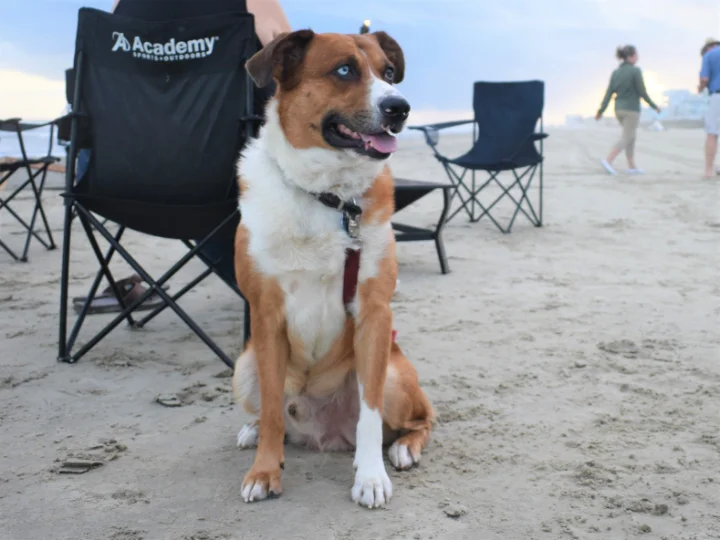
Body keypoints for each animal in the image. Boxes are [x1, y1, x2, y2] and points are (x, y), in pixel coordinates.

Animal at [232, 28, 434, 510]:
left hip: (394, 372)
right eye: (344, 70)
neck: (329, 197)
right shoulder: (265, 317)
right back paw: (253, 430)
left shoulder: (374, 314)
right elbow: (272, 409)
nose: (400, 108)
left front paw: (371, 477)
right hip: (244, 365)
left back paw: (402, 448)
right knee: (272, 413)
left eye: (389, 73)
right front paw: (264, 471)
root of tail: (322, 431)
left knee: (421, 420)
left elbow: (371, 413)